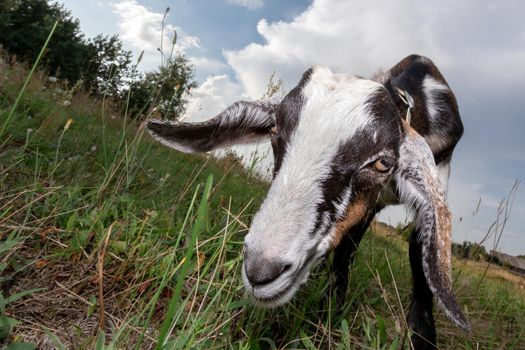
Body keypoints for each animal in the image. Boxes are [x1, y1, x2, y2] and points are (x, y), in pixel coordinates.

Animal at [145, 55, 468, 350]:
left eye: (382, 162)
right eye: (275, 131)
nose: (261, 271)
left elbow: (419, 257)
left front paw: (422, 337)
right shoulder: (366, 208)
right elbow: (346, 252)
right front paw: (333, 306)